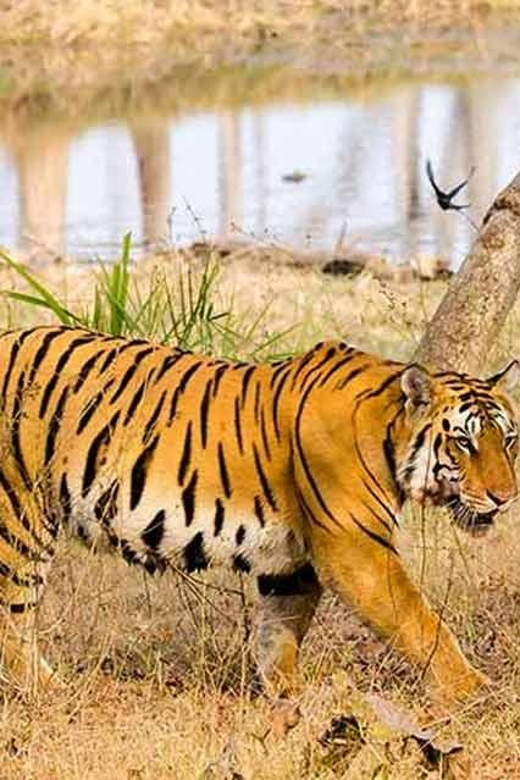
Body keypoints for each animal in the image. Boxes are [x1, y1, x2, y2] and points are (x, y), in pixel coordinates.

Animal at [0, 325, 517, 702]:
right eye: (464, 441)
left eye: (508, 439)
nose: (505, 496)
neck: (387, 432)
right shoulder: (356, 550)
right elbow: (421, 622)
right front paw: (475, 693)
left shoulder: (293, 563)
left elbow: (278, 633)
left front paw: (288, 696)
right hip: (20, 521)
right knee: (14, 616)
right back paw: (47, 691)